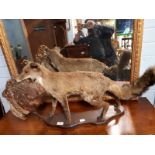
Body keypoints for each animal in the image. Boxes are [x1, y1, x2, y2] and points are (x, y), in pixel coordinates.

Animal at [16, 61, 155, 124]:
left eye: (26, 72)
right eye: (22, 71)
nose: (16, 79)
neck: (47, 80)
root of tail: (104, 77)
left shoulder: (63, 97)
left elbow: (66, 112)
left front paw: (69, 122)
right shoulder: (54, 98)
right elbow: (53, 109)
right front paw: (50, 117)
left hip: (89, 98)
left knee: (106, 104)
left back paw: (102, 117)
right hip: (99, 95)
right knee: (114, 97)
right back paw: (117, 107)